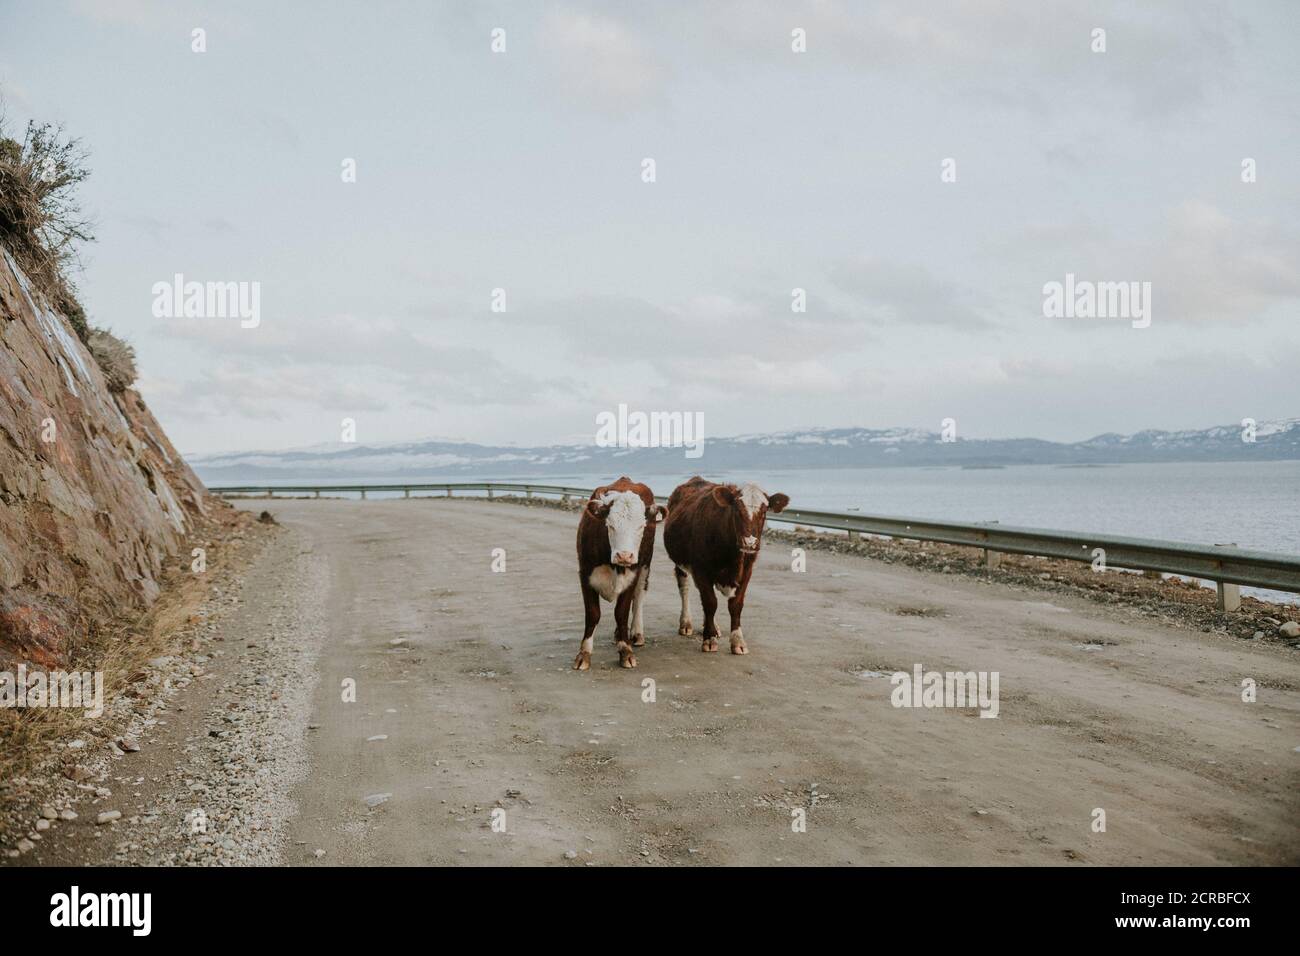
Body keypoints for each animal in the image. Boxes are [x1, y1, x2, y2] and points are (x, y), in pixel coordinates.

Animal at [574, 478, 665, 671]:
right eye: (610, 525)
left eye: (641, 526)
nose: (624, 555)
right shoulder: (585, 574)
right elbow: (592, 614)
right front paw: (584, 654)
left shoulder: (632, 576)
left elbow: (621, 613)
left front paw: (625, 651)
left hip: (645, 566)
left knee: (639, 597)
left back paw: (636, 633)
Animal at [665, 476, 785, 655]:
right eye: (737, 510)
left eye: (764, 512)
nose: (749, 542)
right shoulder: (701, 569)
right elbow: (710, 602)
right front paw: (709, 639)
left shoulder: (747, 571)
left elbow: (735, 605)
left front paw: (737, 641)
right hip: (680, 562)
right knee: (684, 588)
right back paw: (686, 623)